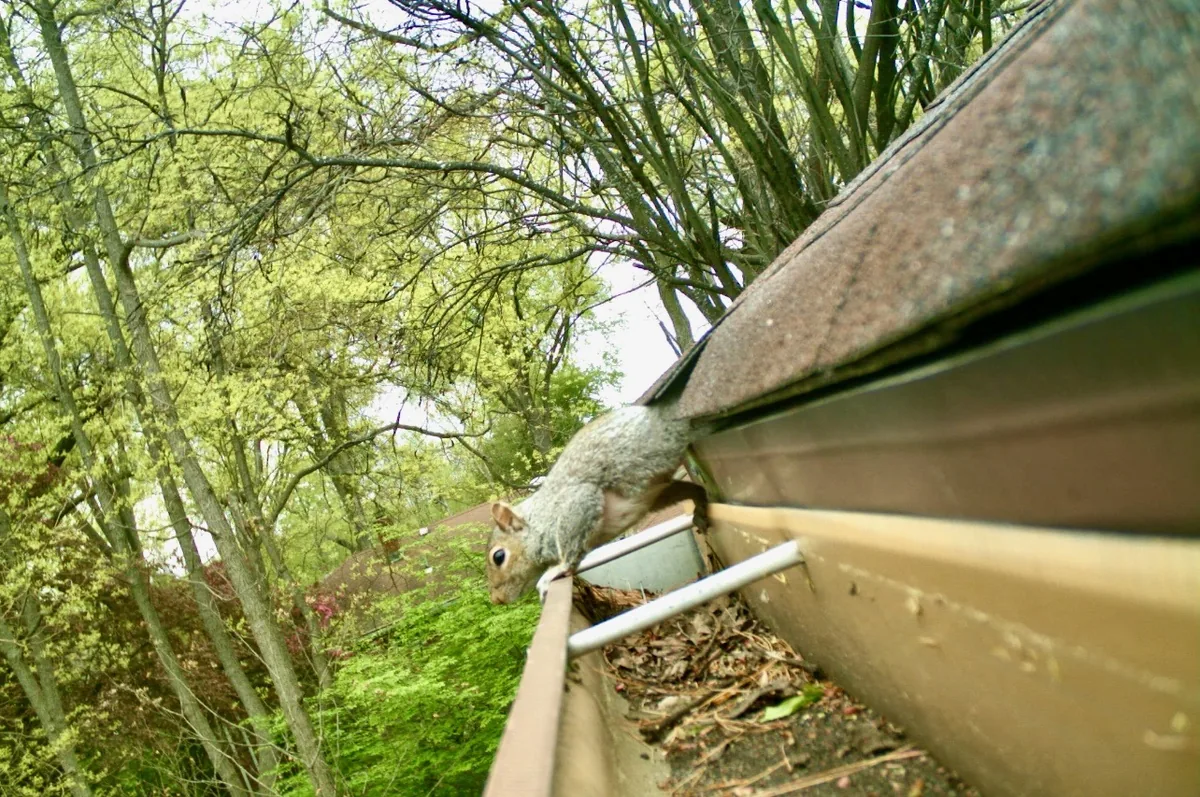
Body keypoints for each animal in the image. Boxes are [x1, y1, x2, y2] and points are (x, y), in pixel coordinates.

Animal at [486, 403, 709, 604]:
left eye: (498, 557)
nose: (497, 600)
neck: (538, 522)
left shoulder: (578, 503)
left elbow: (569, 554)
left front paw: (554, 571)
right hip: (657, 493)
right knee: (693, 490)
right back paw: (700, 506)